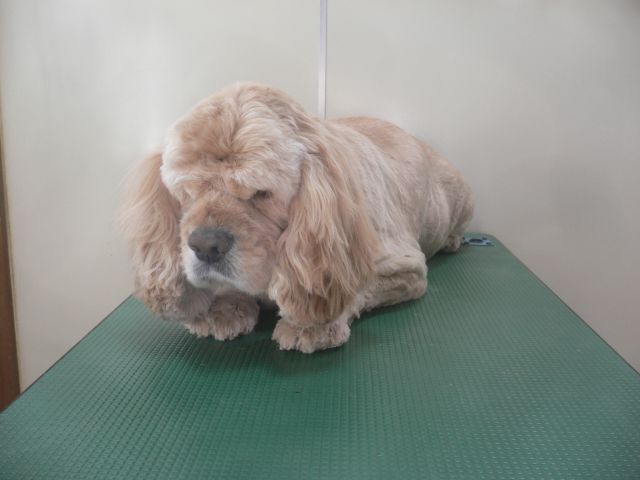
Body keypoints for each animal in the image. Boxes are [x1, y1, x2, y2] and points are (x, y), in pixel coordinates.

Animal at [120, 82, 474, 353]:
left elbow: (356, 286)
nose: (205, 245)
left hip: (461, 195)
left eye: (261, 192)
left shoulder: (404, 266)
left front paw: (313, 324)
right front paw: (224, 306)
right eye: (186, 191)